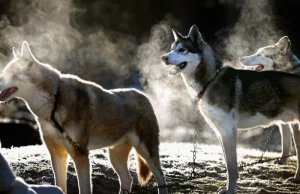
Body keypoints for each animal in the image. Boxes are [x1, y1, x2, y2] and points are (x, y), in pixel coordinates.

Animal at [0, 41, 168, 194]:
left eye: (7, 74)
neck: (54, 102)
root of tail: (143, 95)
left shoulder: (81, 155)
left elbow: (84, 189)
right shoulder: (57, 155)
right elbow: (60, 186)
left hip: (146, 152)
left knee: (161, 179)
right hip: (115, 157)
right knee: (128, 179)